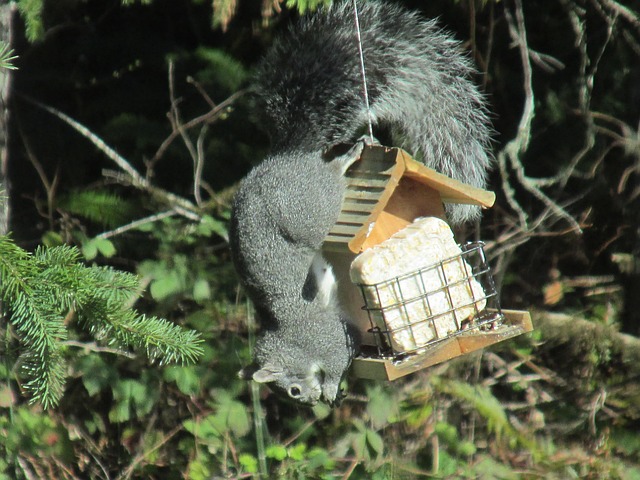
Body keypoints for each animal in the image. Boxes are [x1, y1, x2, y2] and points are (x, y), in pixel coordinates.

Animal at [229, 0, 493, 407]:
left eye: (292, 390)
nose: (311, 402)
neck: (292, 338)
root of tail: (287, 155)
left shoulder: (329, 336)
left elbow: (340, 357)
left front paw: (332, 387)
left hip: (312, 206)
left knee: (330, 180)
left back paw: (346, 159)